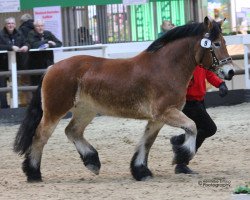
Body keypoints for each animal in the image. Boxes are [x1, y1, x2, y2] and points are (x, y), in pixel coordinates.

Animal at [14, 16, 235, 183]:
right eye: (216, 44)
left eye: (225, 42)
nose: (230, 72)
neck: (165, 67)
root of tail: (52, 67)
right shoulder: (166, 112)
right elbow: (192, 127)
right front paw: (180, 154)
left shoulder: (157, 118)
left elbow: (147, 142)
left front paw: (141, 171)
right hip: (55, 110)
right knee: (41, 135)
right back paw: (33, 173)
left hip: (86, 110)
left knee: (72, 131)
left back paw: (92, 162)